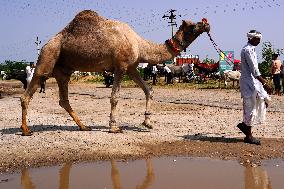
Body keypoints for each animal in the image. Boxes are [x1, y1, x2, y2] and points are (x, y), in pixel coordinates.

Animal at [20, 9, 210, 135]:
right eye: (192, 26)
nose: (206, 24)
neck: (139, 44)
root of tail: (47, 43)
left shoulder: (132, 67)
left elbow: (149, 90)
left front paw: (148, 122)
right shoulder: (121, 66)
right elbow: (115, 97)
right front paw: (114, 126)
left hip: (64, 69)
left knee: (64, 99)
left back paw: (84, 126)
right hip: (48, 56)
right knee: (28, 92)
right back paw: (26, 129)